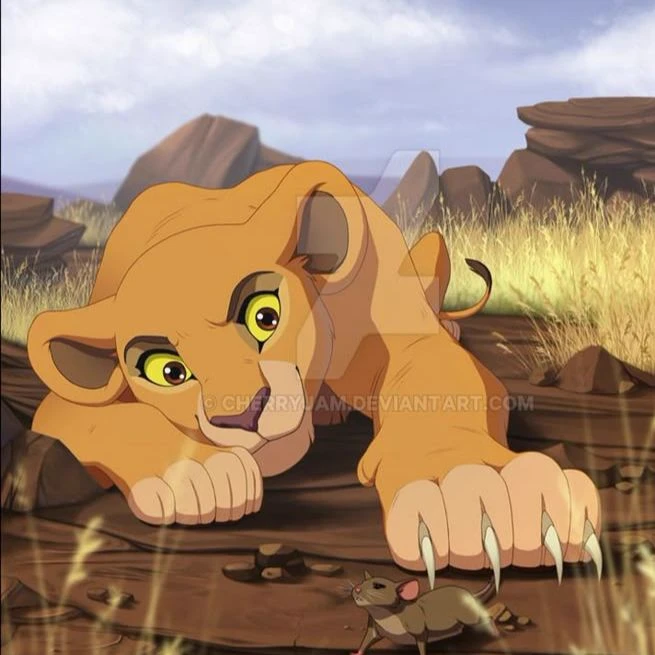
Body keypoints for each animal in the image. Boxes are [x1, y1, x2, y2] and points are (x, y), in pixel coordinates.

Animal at [27, 161, 601, 589]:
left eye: (265, 315)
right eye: (168, 370)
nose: (242, 415)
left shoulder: (398, 326)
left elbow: (436, 386)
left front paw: (480, 496)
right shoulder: (62, 402)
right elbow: (109, 419)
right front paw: (202, 476)